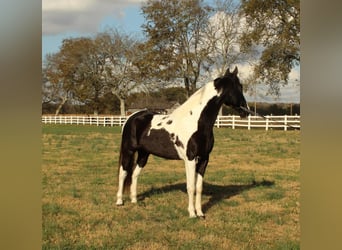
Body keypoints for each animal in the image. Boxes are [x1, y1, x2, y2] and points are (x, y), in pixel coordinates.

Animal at [115, 67, 248, 218]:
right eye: (239, 86)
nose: (246, 111)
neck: (196, 122)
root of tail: (131, 118)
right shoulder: (190, 159)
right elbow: (190, 187)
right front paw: (192, 213)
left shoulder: (204, 159)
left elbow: (199, 187)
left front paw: (200, 213)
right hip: (128, 151)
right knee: (123, 173)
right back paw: (119, 201)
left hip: (144, 154)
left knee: (134, 174)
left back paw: (134, 200)